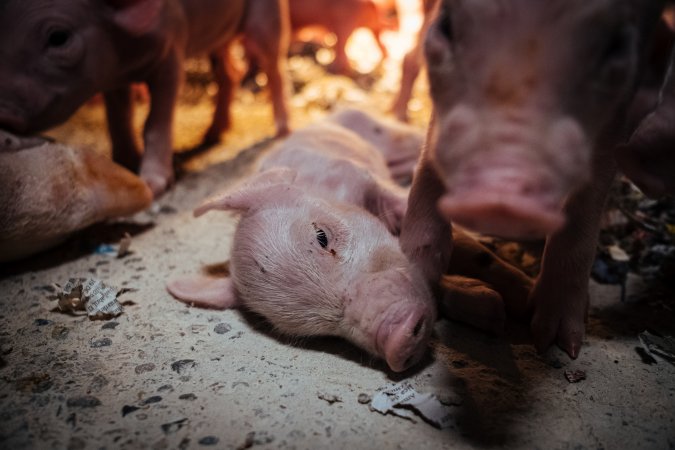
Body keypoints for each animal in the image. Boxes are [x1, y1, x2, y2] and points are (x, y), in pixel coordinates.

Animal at [0, 0, 290, 197]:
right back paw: (212, 134)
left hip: (265, 17)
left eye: (59, 37)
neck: (127, 55)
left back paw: (280, 131)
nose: (5, 114)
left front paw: (153, 186)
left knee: (273, 65)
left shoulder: (172, 50)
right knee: (230, 73)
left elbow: (155, 120)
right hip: (220, 36)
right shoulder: (111, 77)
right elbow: (118, 116)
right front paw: (125, 164)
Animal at [400, 0, 668, 358]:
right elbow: (432, 148)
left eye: (615, 48)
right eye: (447, 27)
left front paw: (562, 345)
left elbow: (591, 188)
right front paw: (415, 268)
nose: (500, 198)